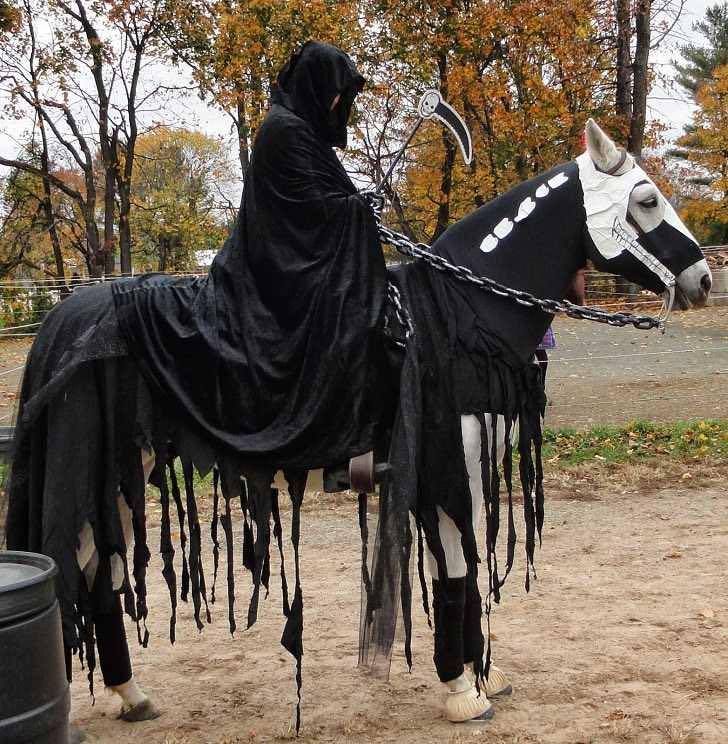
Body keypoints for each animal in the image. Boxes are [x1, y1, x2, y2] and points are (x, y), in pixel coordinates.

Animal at [2, 119, 711, 736]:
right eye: (646, 199)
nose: (702, 280)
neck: (458, 314)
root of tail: (67, 317)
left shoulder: (448, 475)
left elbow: (462, 570)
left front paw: (481, 675)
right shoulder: (447, 469)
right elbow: (459, 571)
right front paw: (461, 690)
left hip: (124, 478)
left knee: (101, 571)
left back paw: (131, 694)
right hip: (109, 473)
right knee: (80, 565)